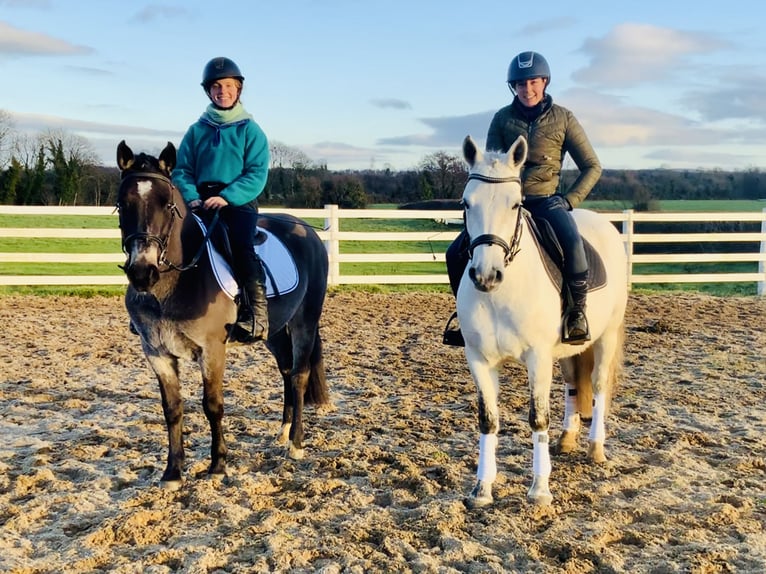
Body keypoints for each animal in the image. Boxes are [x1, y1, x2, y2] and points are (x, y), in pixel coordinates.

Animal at [116, 141, 330, 490]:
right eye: (123, 204)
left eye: (167, 204)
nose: (142, 272)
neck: (179, 279)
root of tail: (306, 232)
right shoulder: (156, 352)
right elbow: (172, 408)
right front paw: (173, 472)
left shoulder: (212, 350)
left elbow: (212, 406)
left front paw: (218, 465)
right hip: (273, 331)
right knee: (286, 370)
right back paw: (283, 432)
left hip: (305, 322)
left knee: (299, 375)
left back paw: (296, 443)